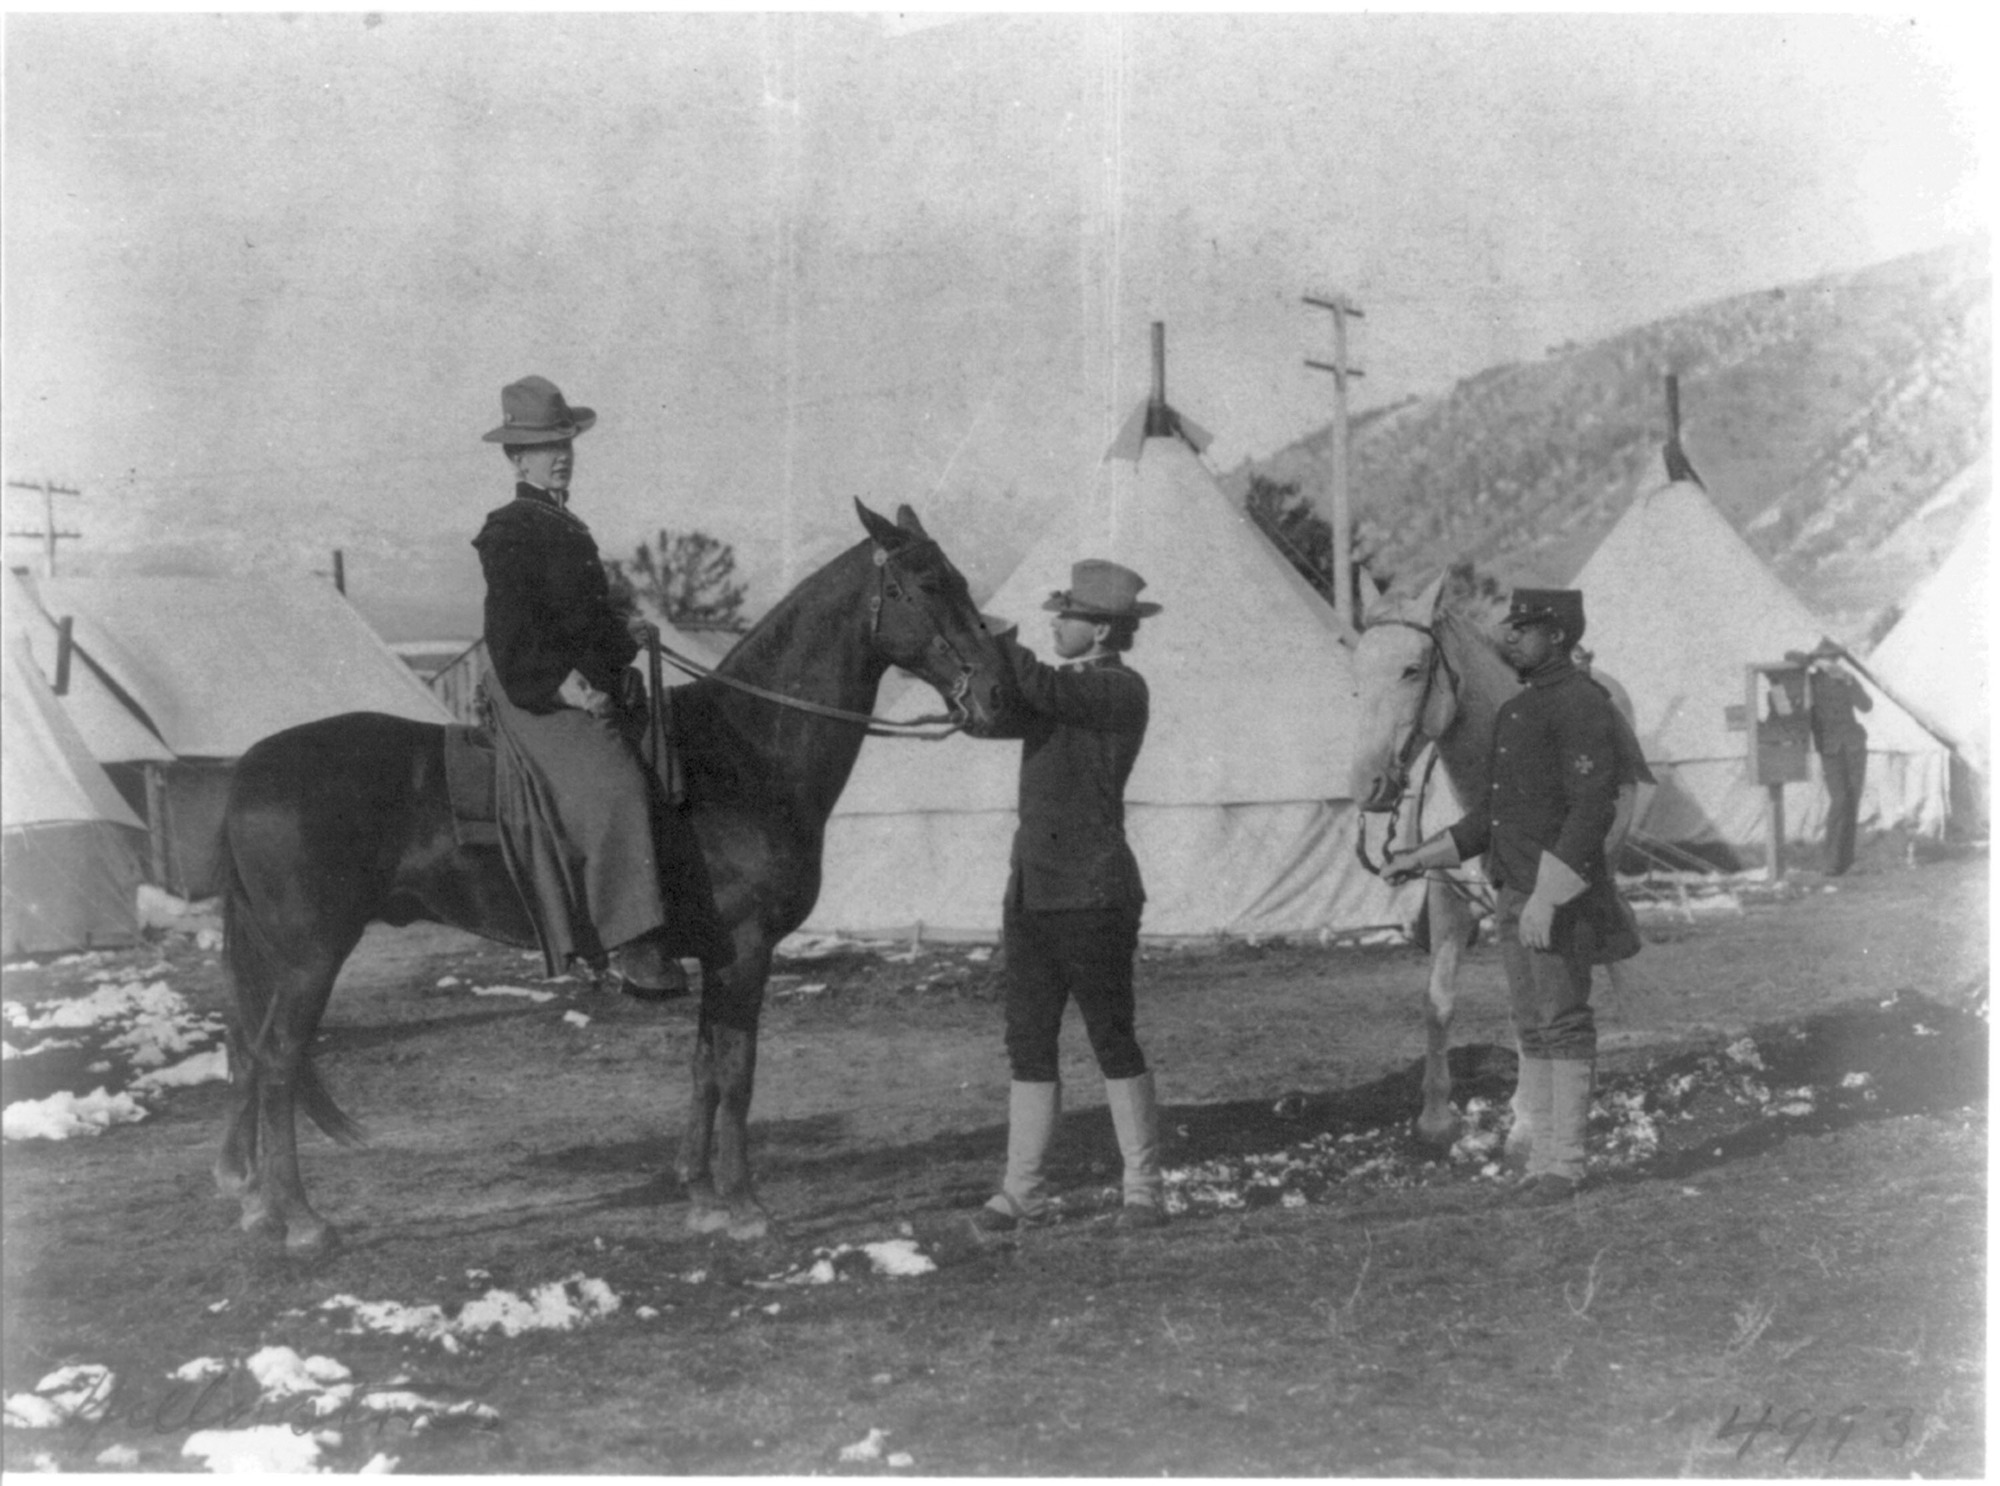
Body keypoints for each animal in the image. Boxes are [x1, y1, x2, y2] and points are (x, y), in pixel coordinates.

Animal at [215, 502, 1016, 1256]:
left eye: (960, 578)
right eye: (923, 584)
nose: (995, 694)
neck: (746, 750)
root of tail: (248, 770)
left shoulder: (716, 958)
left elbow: (703, 1067)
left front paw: (702, 1198)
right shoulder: (747, 952)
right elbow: (738, 1073)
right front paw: (747, 1207)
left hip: (281, 958)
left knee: (252, 1055)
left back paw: (256, 1205)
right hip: (313, 955)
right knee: (278, 1061)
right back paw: (302, 1221)